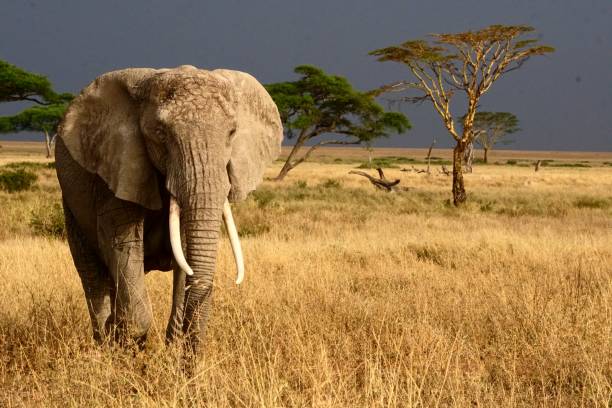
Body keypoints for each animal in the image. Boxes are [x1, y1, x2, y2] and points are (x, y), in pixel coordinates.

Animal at [55, 63, 284, 354]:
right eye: (161, 134)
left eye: (232, 133)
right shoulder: (118, 167)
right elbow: (123, 245)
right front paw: (125, 345)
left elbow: (185, 250)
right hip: (71, 206)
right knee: (94, 278)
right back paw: (107, 339)